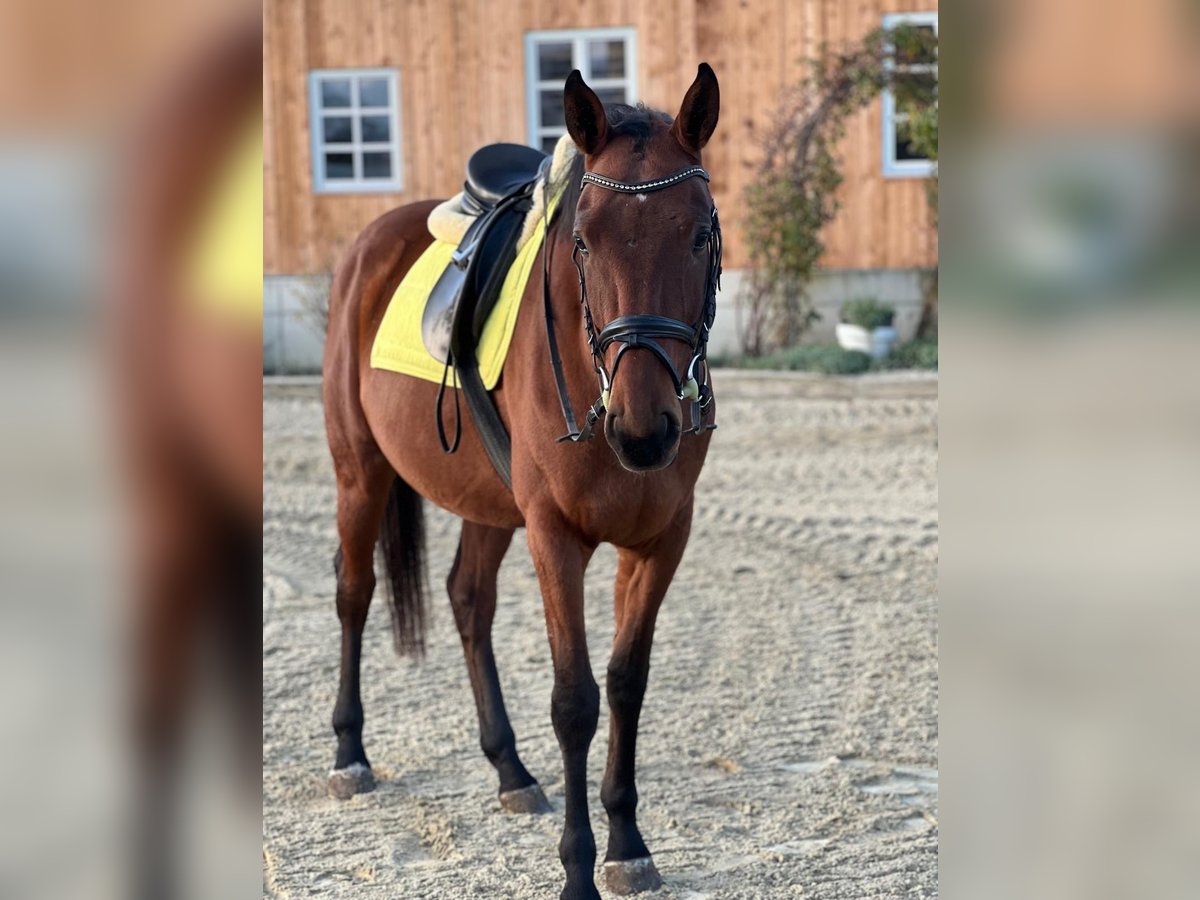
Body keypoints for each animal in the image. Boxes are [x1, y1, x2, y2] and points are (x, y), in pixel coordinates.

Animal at [324, 65, 720, 900]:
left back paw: (509, 770)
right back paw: (348, 755)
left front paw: (628, 844)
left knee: (467, 598)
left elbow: (627, 682)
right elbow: (575, 700)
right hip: (359, 472)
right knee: (354, 592)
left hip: (487, 503)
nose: (644, 430)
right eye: (583, 239)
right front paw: (578, 870)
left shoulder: (662, 539)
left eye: (701, 232)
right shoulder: (554, 535)